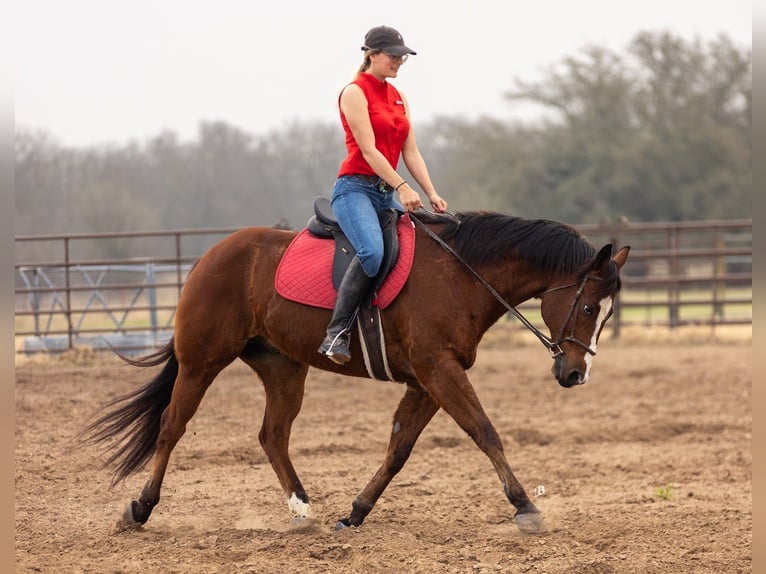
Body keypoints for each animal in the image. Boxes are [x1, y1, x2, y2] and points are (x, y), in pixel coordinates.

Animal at [79, 209, 630, 535]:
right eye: (587, 308)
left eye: (606, 314)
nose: (575, 374)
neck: (461, 274)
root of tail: (209, 255)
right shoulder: (439, 371)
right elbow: (485, 432)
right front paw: (524, 506)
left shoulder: (426, 382)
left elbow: (399, 449)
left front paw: (357, 511)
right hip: (201, 362)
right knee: (172, 428)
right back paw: (140, 508)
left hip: (283, 368)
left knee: (272, 435)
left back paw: (302, 510)